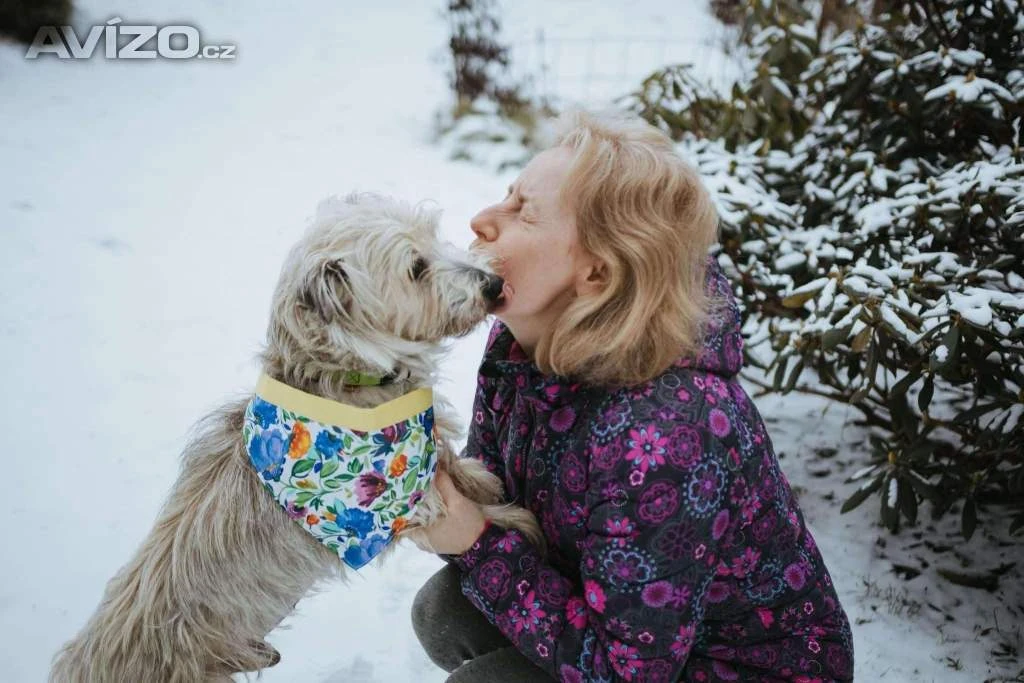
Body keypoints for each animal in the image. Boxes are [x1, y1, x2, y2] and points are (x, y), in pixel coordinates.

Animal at [50, 193, 543, 682]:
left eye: (436, 238)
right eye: (416, 267)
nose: (494, 284)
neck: (344, 379)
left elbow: (453, 462)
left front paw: (481, 478)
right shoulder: (397, 509)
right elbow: (475, 511)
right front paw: (521, 525)